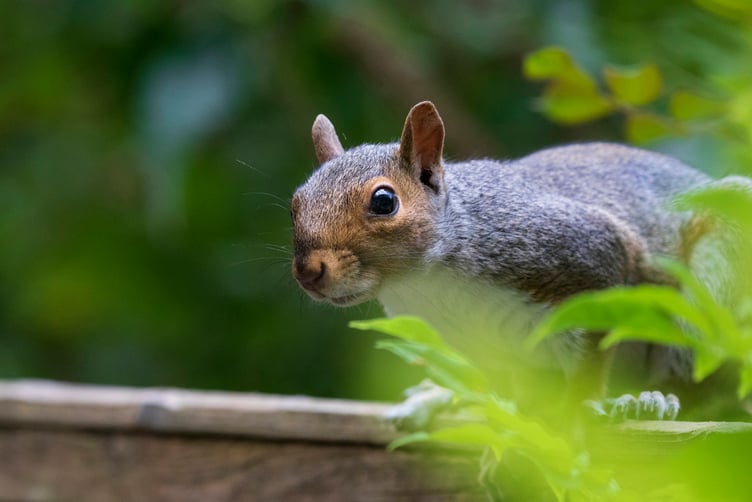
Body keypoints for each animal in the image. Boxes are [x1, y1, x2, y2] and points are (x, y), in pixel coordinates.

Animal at [291, 100, 741, 423]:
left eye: (384, 201)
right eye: (296, 202)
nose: (308, 271)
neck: (425, 283)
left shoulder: (584, 251)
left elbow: (591, 351)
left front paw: (579, 407)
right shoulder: (480, 345)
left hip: (710, 292)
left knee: (701, 383)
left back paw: (649, 400)